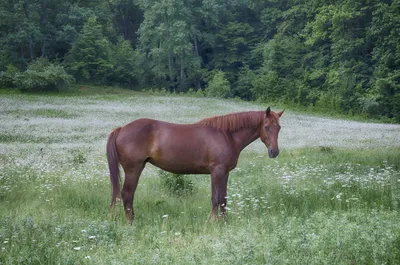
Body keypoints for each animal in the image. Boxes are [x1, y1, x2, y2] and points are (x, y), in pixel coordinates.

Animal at [106, 106, 282, 222]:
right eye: (266, 127)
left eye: (279, 127)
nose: (274, 152)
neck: (226, 135)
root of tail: (121, 129)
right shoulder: (217, 172)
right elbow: (215, 198)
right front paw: (213, 221)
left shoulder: (225, 173)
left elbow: (223, 199)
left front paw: (224, 221)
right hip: (133, 170)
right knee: (127, 195)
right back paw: (131, 223)